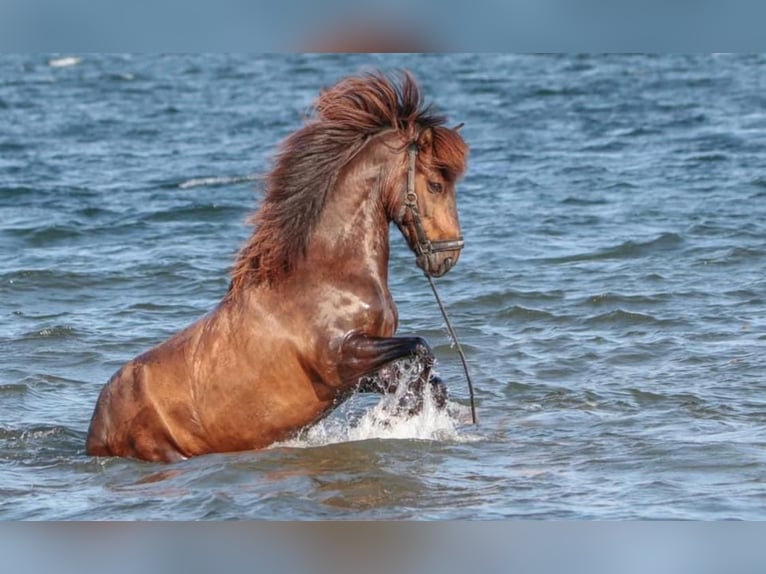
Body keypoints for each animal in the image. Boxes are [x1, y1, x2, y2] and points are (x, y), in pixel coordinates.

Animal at [85, 71, 469, 462]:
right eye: (435, 185)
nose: (448, 255)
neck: (329, 275)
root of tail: (96, 430)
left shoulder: (356, 374)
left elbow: (432, 381)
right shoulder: (343, 358)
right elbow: (422, 350)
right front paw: (396, 416)